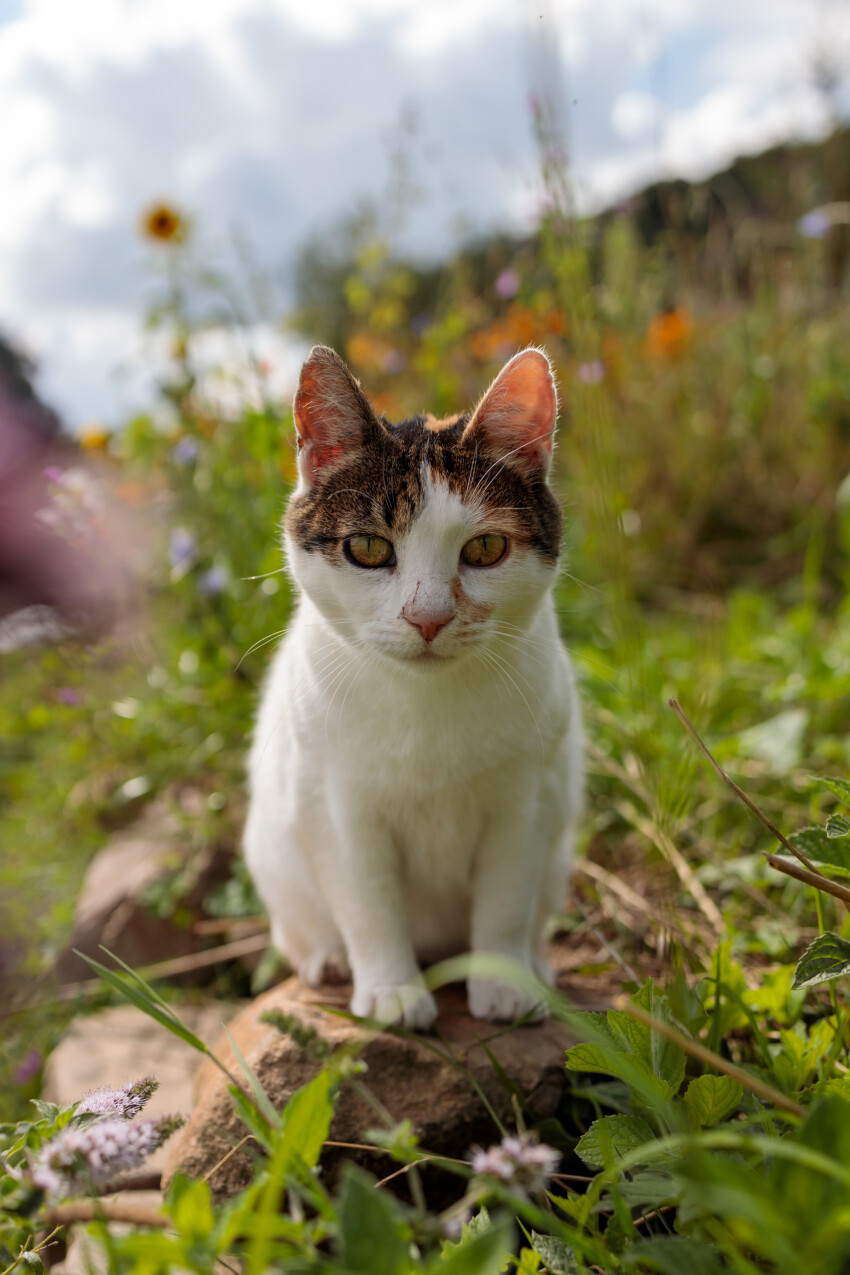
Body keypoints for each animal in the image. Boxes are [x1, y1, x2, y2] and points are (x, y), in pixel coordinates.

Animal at [242, 339, 581, 1025]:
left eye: (485, 549)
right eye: (370, 549)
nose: (428, 617)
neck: (426, 709)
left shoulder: (526, 803)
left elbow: (506, 902)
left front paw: (503, 983)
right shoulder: (338, 808)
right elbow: (369, 908)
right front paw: (392, 992)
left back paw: (534, 965)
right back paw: (329, 962)